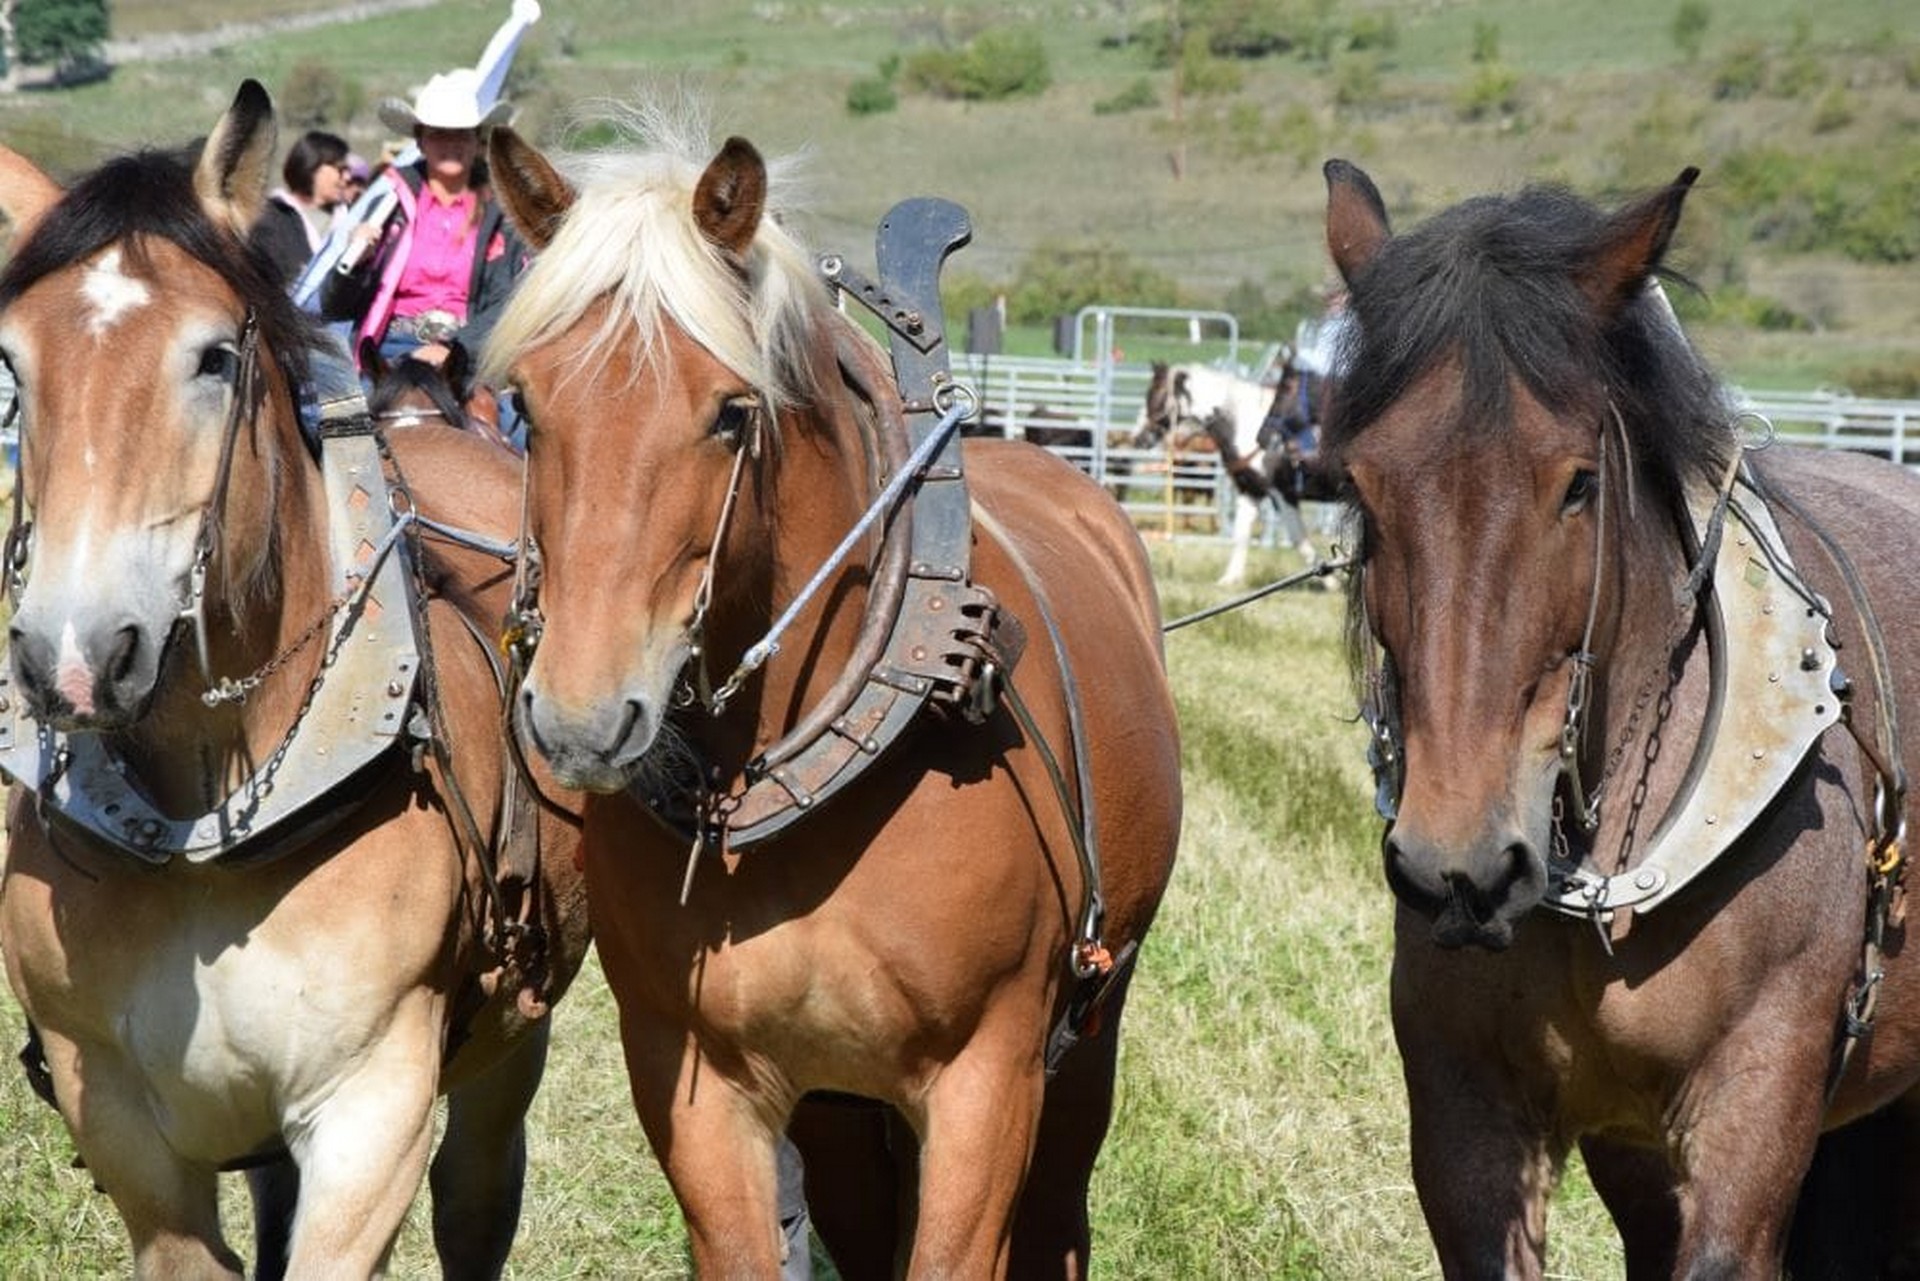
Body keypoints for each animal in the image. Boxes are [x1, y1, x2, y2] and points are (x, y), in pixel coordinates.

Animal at [0, 81, 589, 1276]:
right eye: (13, 369)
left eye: (213, 359)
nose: (72, 656)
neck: (202, 831)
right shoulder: (114, 1110)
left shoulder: (373, 1105)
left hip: (513, 1036)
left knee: (477, 1190)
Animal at [478, 108, 1183, 1277]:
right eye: (525, 406)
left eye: (731, 413)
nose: (580, 718)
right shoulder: (699, 1081)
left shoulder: (991, 1082)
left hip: (1091, 1031)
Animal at [1135, 359, 1334, 585]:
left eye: (1155, 395)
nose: (1139, 438)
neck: (1246, 427)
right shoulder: (1251, 489)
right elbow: (1241, 533)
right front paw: (1231, 578)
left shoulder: (1282, 493)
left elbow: (1298, 538)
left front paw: (1331, 581)